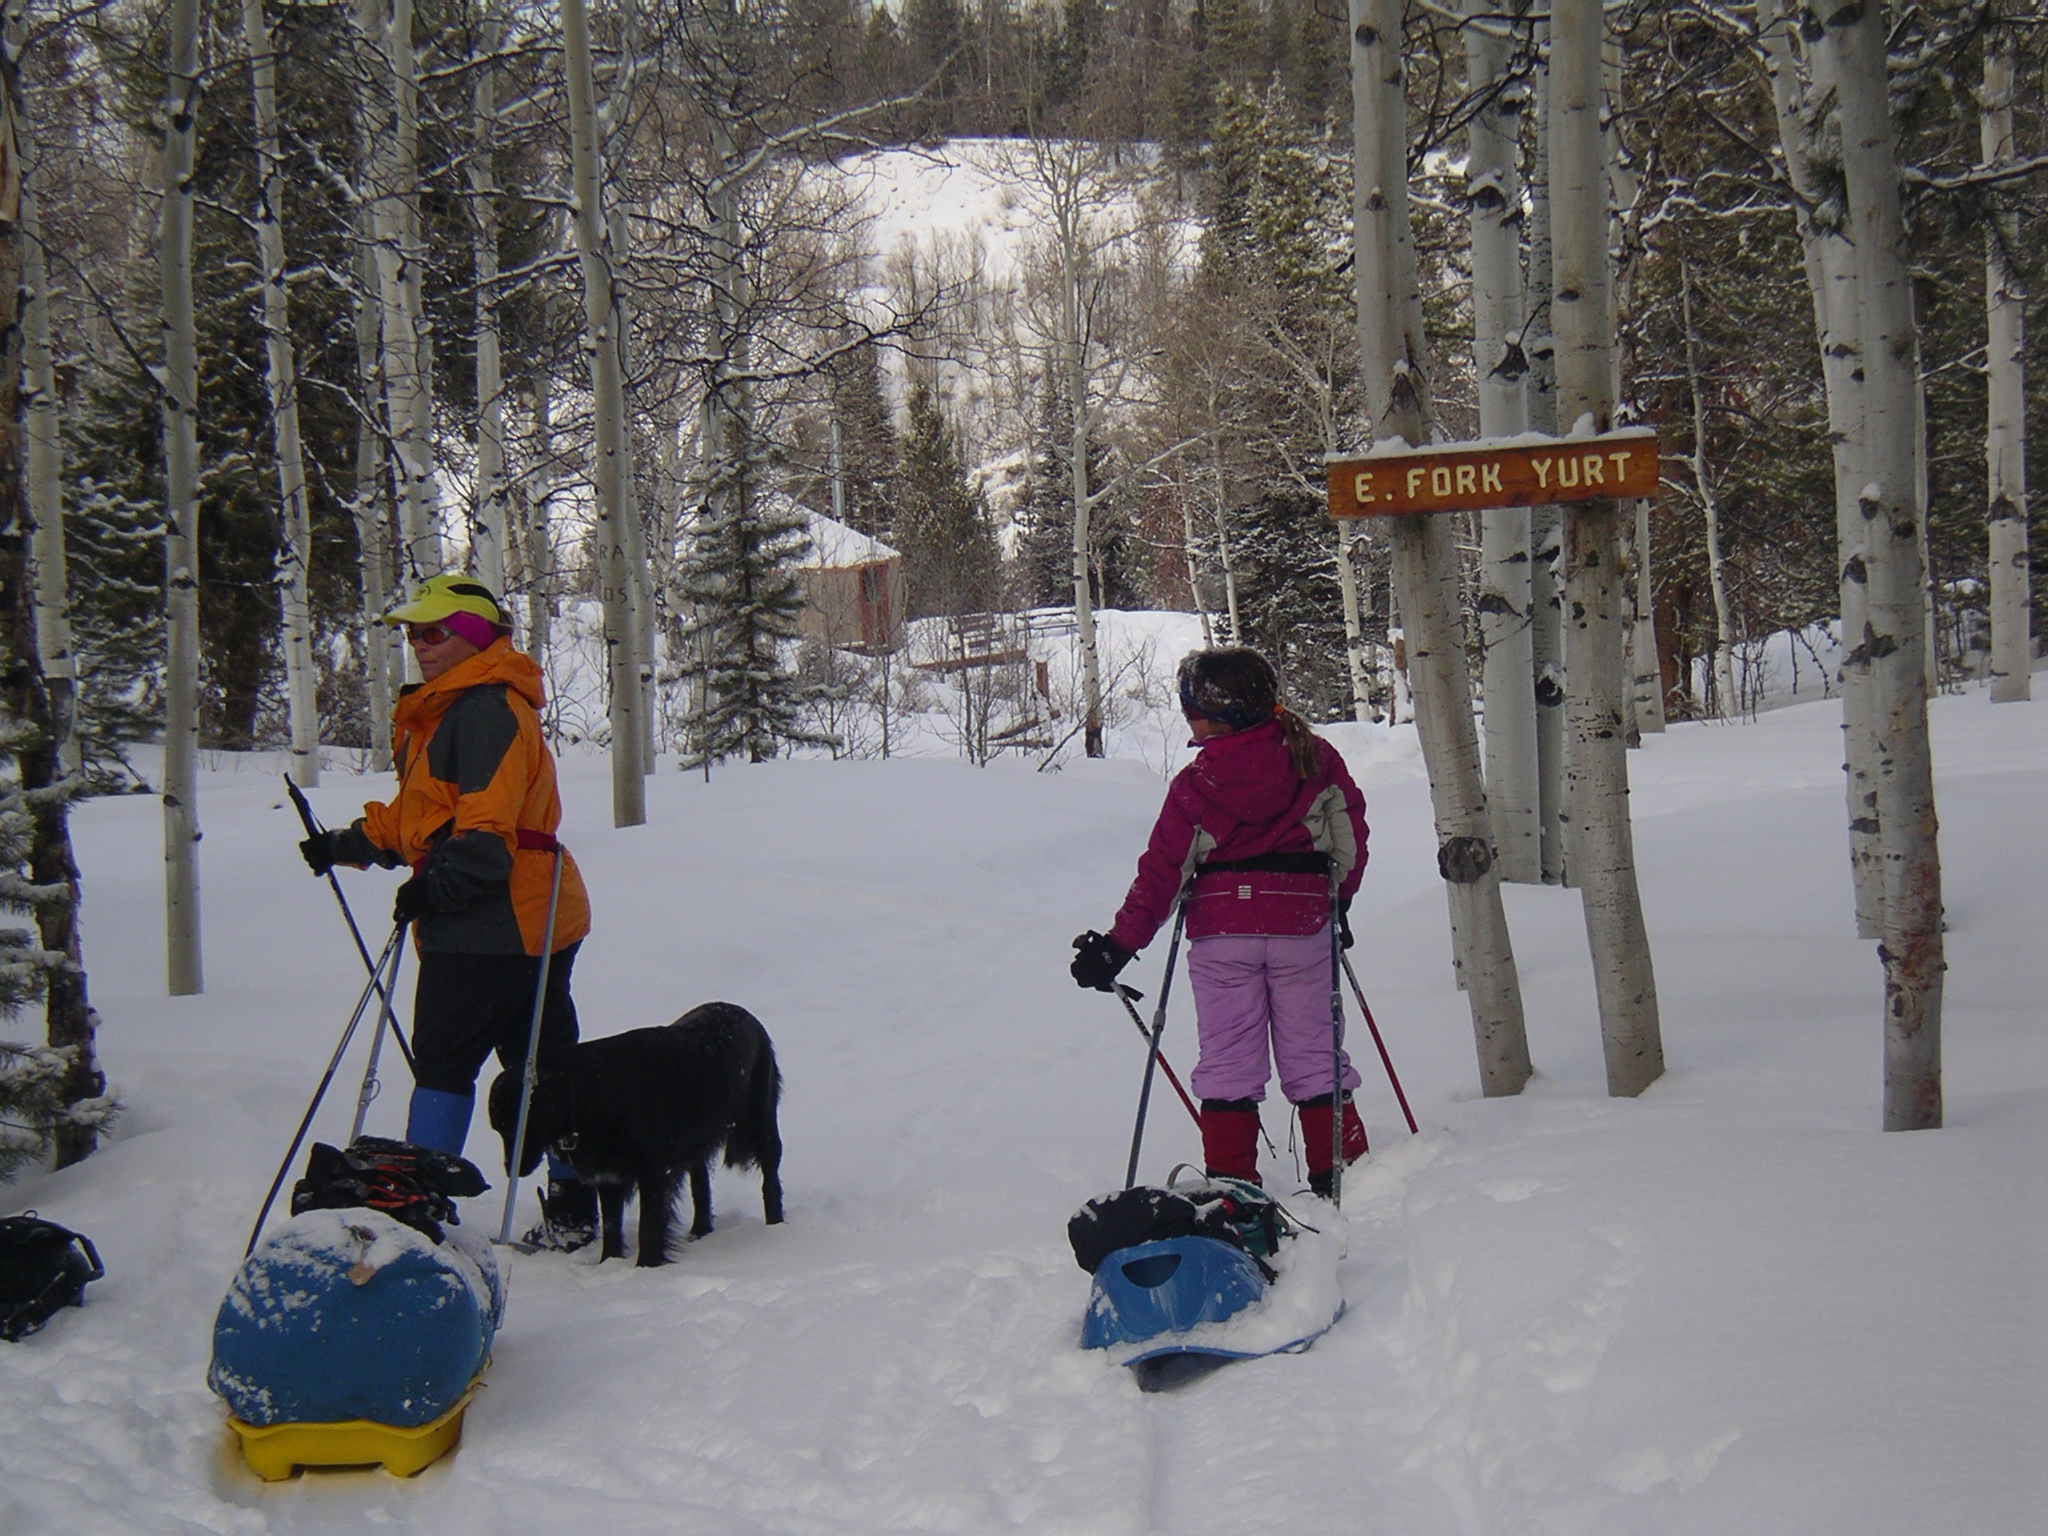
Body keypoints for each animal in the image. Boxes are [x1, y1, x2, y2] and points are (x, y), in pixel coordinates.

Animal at [487, 1003, 782, 1269]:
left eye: (517, 1125)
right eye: (498, 1128)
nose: (512, 1169)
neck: (592, 1091)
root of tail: (745, 1014)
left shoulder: (653, 1173)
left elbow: (648, 1227)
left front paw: (646, 1268)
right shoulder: (608, 1175)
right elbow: (611, 1224)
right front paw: (609, 1263)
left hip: (761, 1124)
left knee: (770, 1179)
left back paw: (775, 1226)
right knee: (701, 1183)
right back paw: (700, 1230)